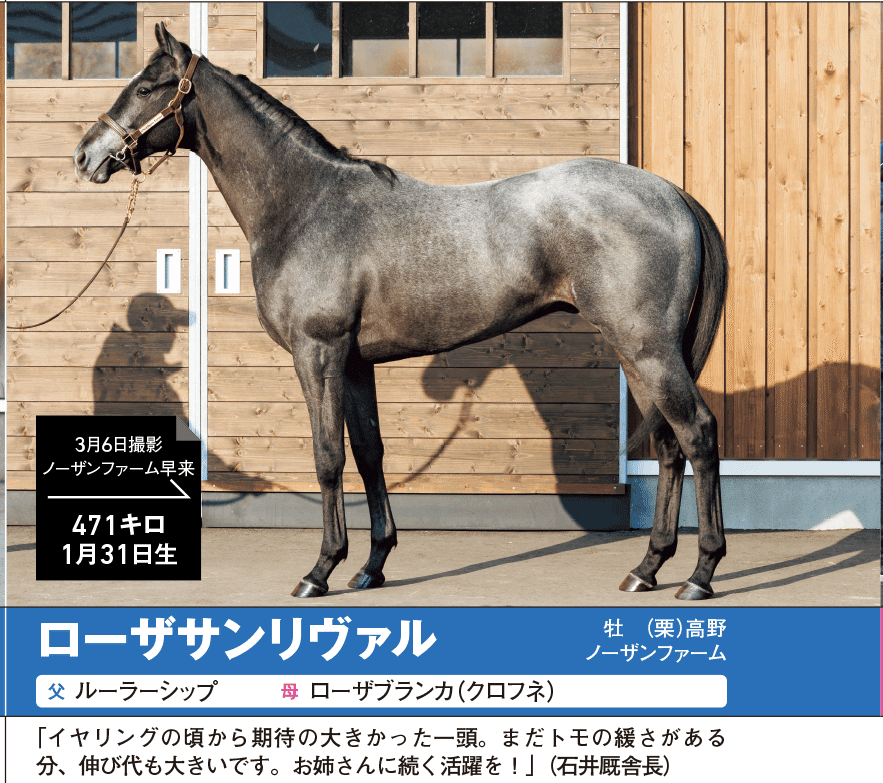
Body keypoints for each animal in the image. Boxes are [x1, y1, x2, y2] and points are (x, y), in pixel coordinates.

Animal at [74, 24, 728, 600]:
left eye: (145, 87)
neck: (307, 204)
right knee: (669, 444)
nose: (85, 155)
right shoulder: (354, 362)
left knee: (696, 433)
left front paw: (320, 570)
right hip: (636, 353)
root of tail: (672, 194)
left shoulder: (319, 352)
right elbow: (369, 453)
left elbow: (328, 456)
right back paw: (647, 567)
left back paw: (700, 573)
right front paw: (371, 565)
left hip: (647, 348)